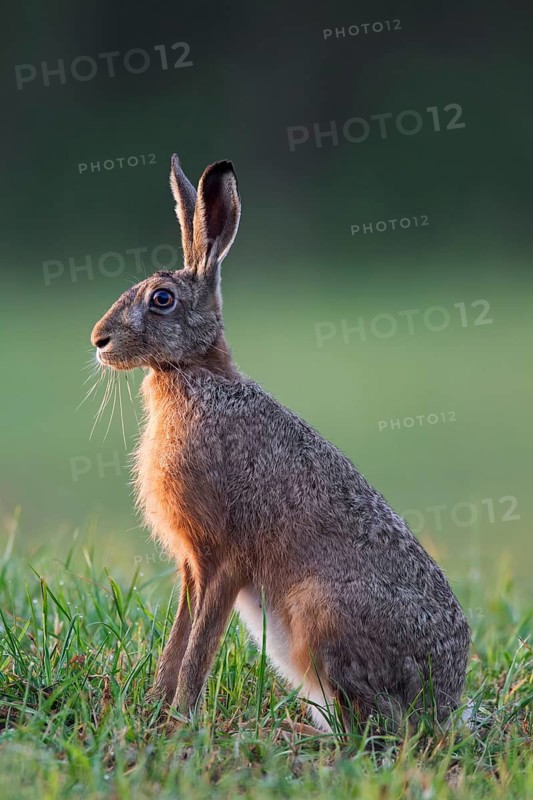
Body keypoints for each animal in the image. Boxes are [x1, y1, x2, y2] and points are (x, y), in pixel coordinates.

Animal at [91, 155, 470, 733]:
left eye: (162, 300)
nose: (99, 340)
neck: (195, 374)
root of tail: (442, 703)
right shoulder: (192, 565)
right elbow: (179, 638)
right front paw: (155, 709)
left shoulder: (224, 558)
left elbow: (199, 647)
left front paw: (179, 720)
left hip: (322, 614)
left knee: (370, 728)